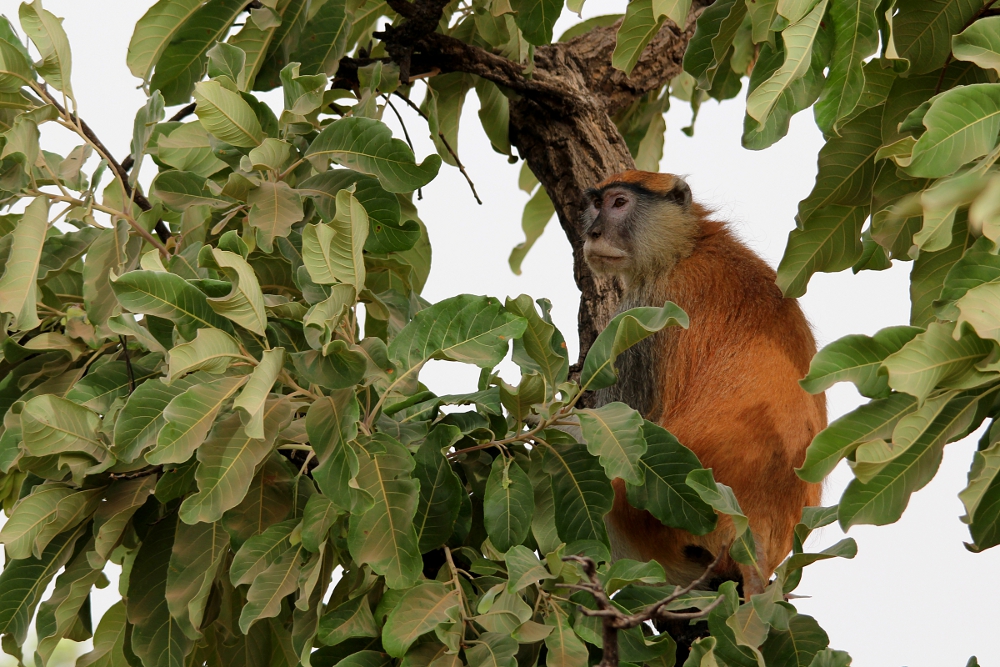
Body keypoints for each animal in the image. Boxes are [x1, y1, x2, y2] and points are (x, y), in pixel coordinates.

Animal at [581, 170, 825, 597]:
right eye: (596, 203)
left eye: (619, 203)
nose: (593, 232)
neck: (687, 246)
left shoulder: (647, 309)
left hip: (645, 520)